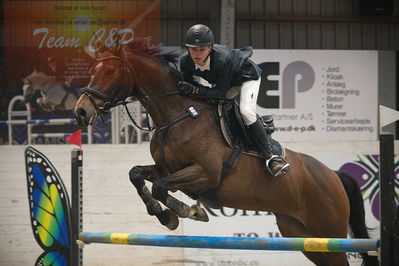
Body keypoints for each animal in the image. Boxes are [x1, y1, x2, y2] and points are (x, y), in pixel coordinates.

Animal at [72, 39, 378, 266]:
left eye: (110, 73)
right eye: (94, 71)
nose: (80, 112)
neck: (179, 116)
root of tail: (334, 175)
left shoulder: (206, 173)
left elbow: (161, 187)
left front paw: (189, 212)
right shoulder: (166, 168)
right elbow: (136, 174)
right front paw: (165, 216)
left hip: (329, 232)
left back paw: (276, 163)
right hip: (305, 237)